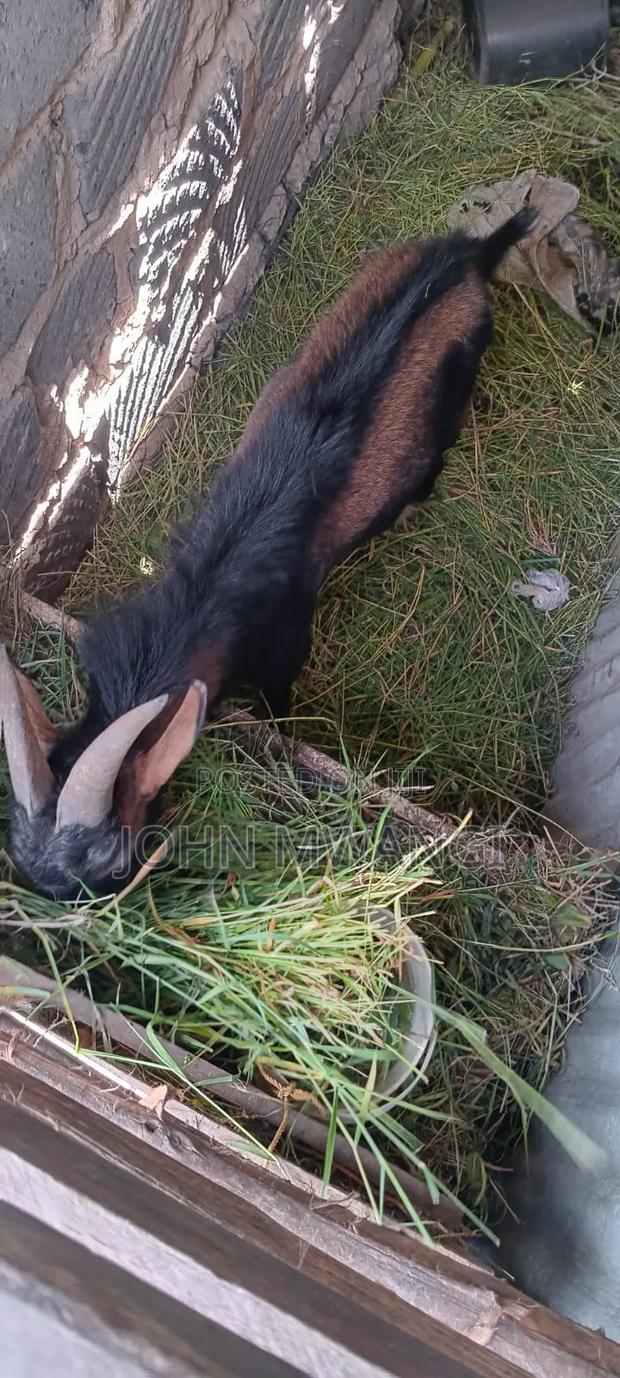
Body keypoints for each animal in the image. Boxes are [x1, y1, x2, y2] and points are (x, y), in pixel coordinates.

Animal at [1, 210, 532, 900]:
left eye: (110, 865)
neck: (212, 588)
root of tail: (471, 256)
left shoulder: (286, 641)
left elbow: (279, 707)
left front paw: (285, 743)